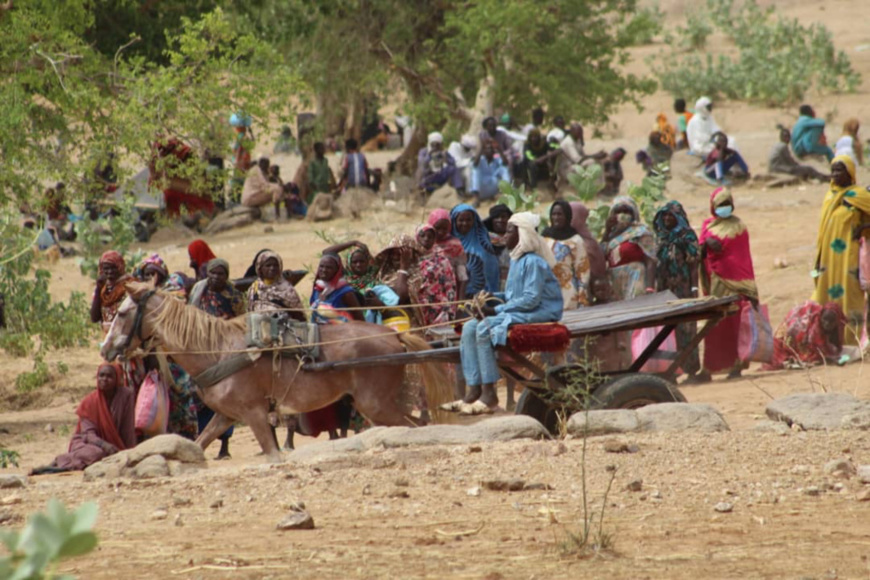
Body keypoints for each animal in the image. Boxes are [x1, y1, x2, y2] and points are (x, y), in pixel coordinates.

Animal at [104, 280, 450, 462]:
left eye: (122, 313)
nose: (105, 350)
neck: (217, 349)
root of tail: (394, 336)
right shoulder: (225, 416)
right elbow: (200, 442)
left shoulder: (255, 414)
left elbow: (272, 455)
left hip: (375, 404)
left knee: (416, 426)